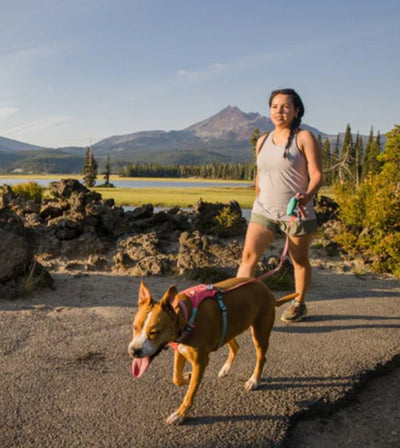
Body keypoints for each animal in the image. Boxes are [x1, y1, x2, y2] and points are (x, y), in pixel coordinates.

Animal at [128, 276, 296, 424]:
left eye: (154, 332)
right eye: (135, 327)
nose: (133, 351)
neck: (186, 316)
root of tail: (266, 288)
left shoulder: (200, 362)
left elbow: (190, 394)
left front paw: (180, 414)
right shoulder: (180, 351)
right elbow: (176, 378)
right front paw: (187, 376)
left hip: (259, 333)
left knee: (261, 357)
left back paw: (253, 380)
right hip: (228, 328)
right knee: (235, 346)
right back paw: (226, 368)